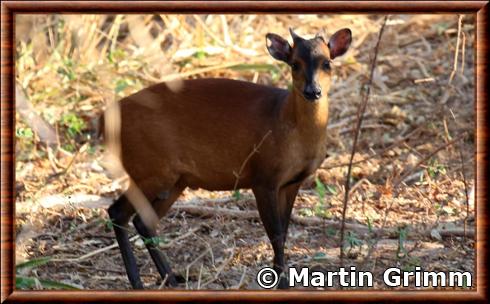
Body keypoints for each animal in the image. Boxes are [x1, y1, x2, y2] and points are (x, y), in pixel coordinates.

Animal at [107, 27, 352, 288]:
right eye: (295, 64)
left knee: (143, 221)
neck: (287, 122)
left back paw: (171, 278)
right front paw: (282, 281)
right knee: (118, 212)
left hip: (175, 179)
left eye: (327, 63)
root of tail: (107, 121)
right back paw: (138, 282)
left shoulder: (292, 182)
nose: (312, 91)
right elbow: (275, 234)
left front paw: (282, 278)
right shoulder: (263, 178)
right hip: (152, 171)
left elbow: (284, 231)